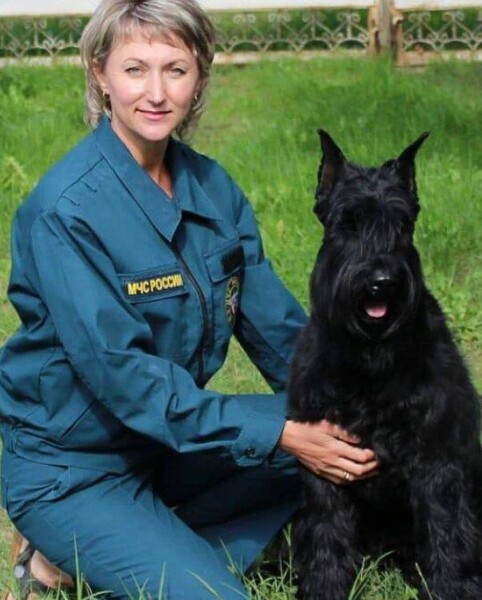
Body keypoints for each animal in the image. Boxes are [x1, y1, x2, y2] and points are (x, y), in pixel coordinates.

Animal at [288, 130, 482, 600]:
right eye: (348, 223)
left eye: (402, 224)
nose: (381, 282)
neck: (370, 356)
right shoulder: (323, 462)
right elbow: (326, 532)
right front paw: (323, 587)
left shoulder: (437, 459)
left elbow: (447, 532)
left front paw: (453, 588)